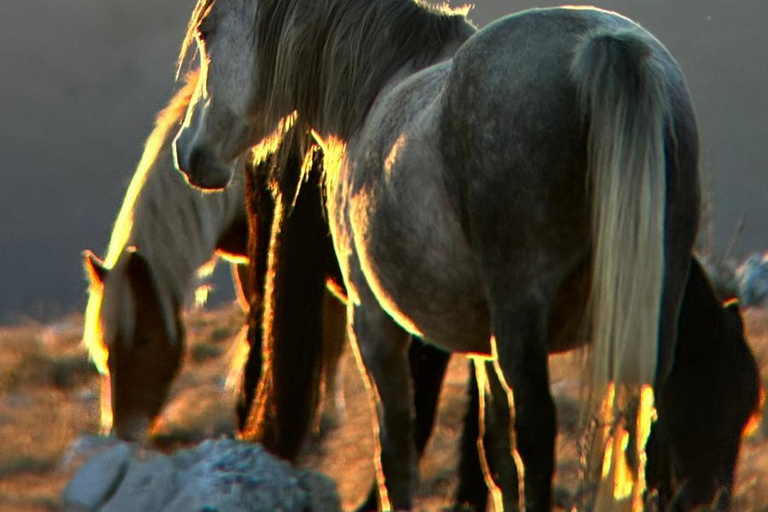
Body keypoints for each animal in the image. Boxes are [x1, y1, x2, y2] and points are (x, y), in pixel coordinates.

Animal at [173, 1, 760, 509]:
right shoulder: (485, 348)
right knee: (645, 427)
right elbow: (494, 454)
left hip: (520, 315)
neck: (375, 89)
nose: (188, 150)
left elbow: (396, 453)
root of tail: (606, 48)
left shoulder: (374, 323)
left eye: (206, 34)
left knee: (539, 433)